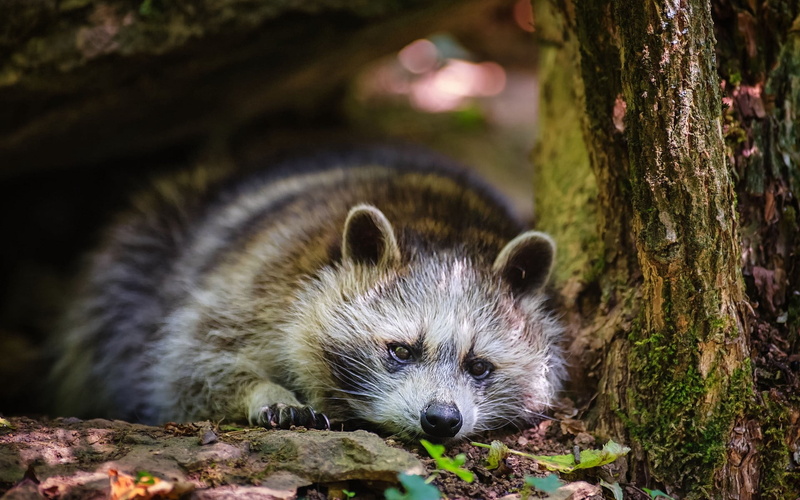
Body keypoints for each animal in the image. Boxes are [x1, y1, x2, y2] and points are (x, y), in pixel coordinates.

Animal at [51, 147, 563, 442]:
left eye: (479, 366)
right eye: (400, 350)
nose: (441, 419)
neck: (444, 232)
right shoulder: (256, 283)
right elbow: (187, 366)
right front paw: (262, 391)